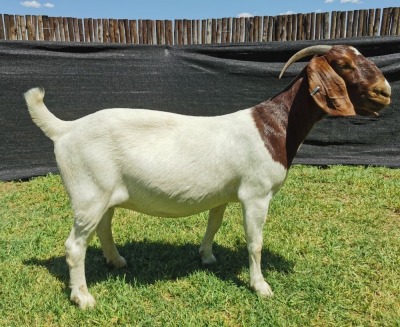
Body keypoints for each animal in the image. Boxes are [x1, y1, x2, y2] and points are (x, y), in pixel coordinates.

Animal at [24, 44, 390, 310]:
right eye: (343, 64)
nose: (385, 90)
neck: (275, 126)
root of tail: (65, 130)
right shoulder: (256, 193)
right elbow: (255, 242)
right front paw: (261, 286)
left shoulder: (225, 193)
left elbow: (214, 222)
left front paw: (207, 256)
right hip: (88, 191)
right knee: (75, 245)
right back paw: (83, 297)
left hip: (103, 194)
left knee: (103, 227)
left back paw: (117, 261)